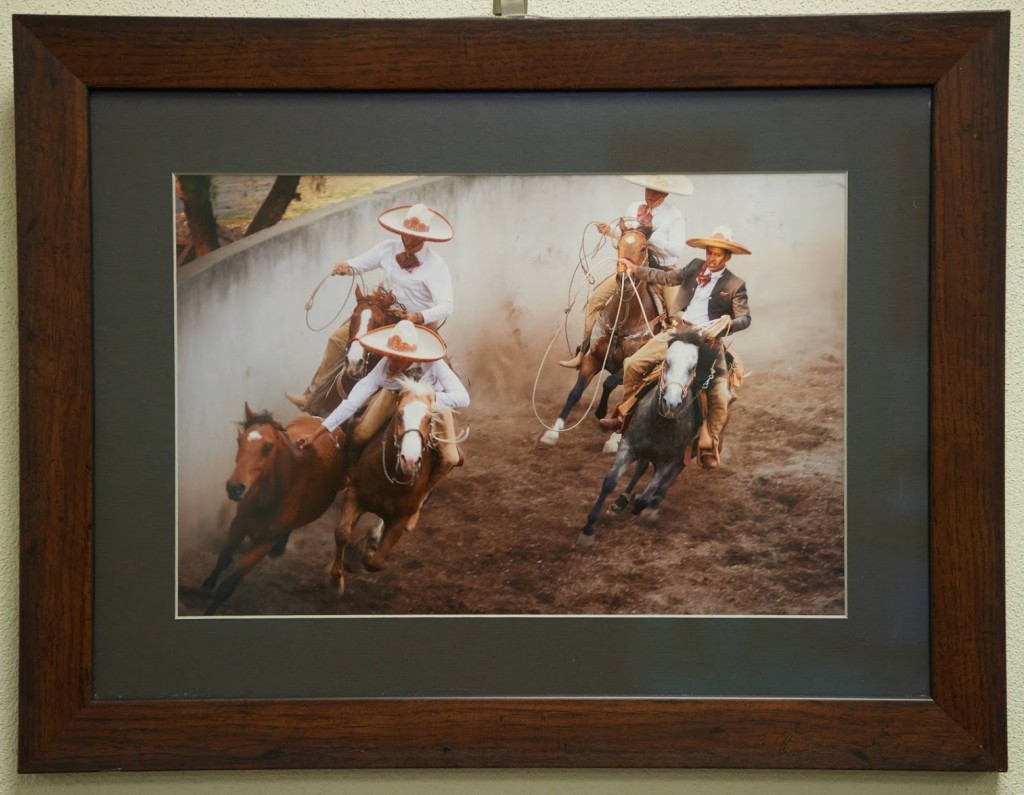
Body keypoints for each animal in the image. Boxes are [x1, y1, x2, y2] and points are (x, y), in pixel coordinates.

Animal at [200, 403, 348, 614]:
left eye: (268, 447)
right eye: (239, 441)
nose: (234, 488)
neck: (269, 500)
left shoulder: (264, 544)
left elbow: (228, 585)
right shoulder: (238, 525)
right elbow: (225, 558)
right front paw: (209, 582)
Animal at [536, 223, 663, 446]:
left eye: (643, 248)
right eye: (619, 246)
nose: (624, 278)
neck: (623, 322)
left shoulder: (632, 366)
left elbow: (611, 384)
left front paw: (602, 414)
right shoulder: (593, 358)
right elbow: (575, 393)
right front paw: (552, 432)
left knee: (630, 401)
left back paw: (614, 438)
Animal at [577, 323, 712, 545]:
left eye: (692, 368)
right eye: (666, 362)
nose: (671, 403)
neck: (660, 423)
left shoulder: (668, 462)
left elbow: (647, 493)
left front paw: (644, 505)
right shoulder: (628, 446)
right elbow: (610, 482)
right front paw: (588, 528)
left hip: (684, 456)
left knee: (667, 481)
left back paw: (652, 506)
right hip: (645, 452)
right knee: (640, 469)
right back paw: (621, 502)